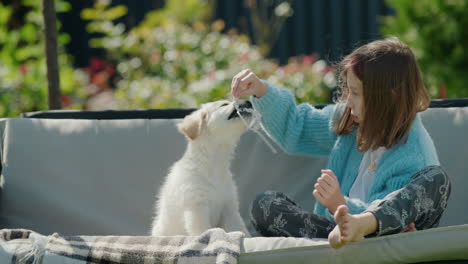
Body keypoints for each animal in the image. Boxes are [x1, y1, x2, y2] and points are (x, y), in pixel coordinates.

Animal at [151, 100, 252, 236]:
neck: (214, 163)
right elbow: (203, 229)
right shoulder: (197, 206)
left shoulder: (229, 207)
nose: (248, 101)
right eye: (224, 104)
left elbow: (239, 227)